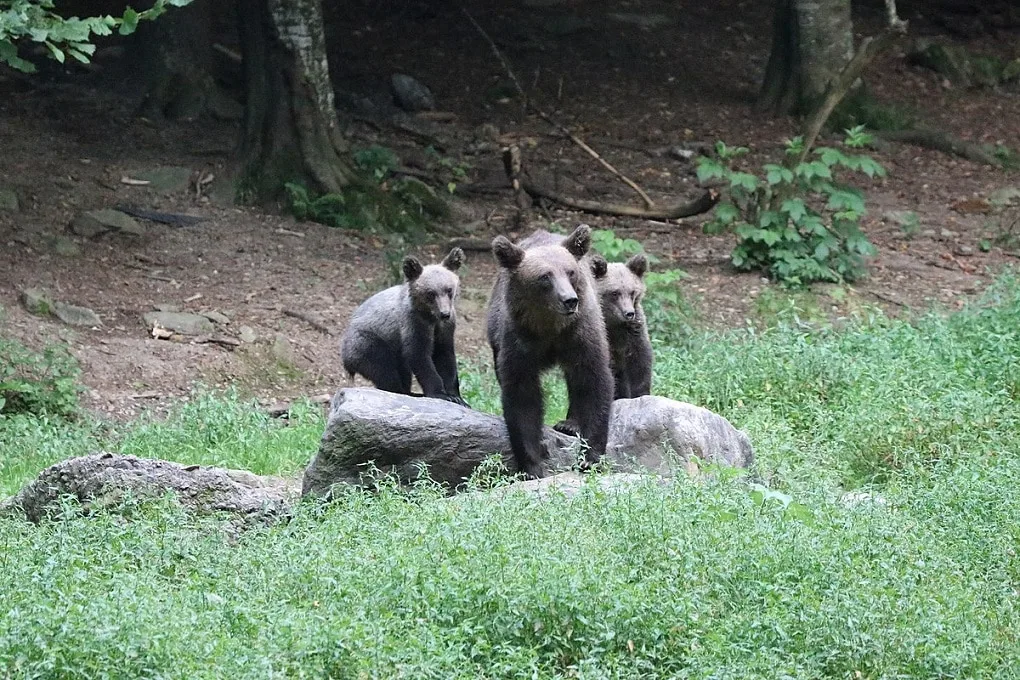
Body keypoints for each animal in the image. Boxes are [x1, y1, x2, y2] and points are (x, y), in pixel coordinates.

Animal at [340, 247, 469, 407]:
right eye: (430, 293)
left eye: (449, 289)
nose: (445, 313)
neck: (431, 318)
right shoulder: (413, 323)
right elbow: (419, 356)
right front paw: (439, 393)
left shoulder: (445, 330)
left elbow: (445, 357)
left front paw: (457, 397)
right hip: (367, 344)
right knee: (384, 369)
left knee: (402, 370)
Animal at [486, 224, 614, 479]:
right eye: (544, 276)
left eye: (570, 272)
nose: (569, 300)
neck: (550, 327)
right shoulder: (519, 340)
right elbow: (522, 396)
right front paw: (532, 465)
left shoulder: (581, 334)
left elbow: (594, 381)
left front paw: (589, 458)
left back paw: (570, 423)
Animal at [591, 253, 653, 400]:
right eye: (615, 292)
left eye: (632, 292)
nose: (629, 313)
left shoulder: (634, 334)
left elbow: (640, 363)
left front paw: (641, 393)